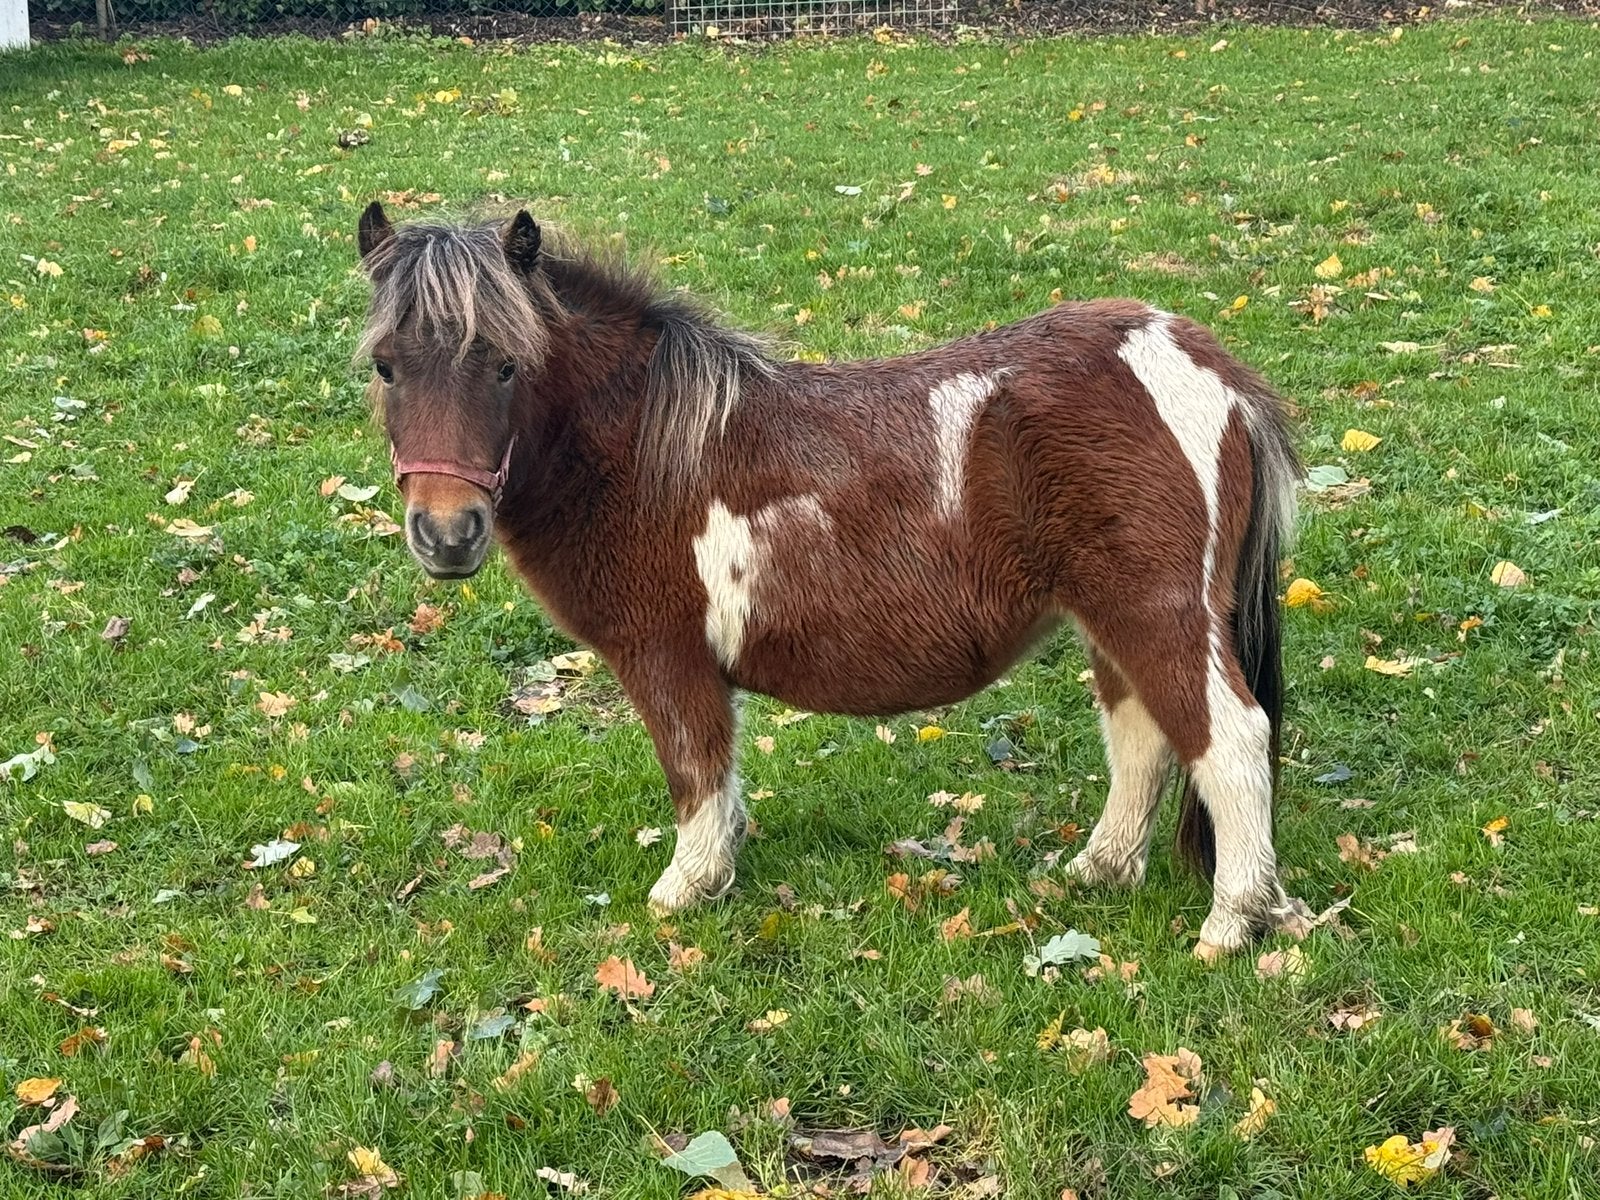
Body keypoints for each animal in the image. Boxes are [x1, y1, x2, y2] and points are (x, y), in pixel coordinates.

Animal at [353, 200, 1311, 959]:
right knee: (1144, 737)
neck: (645, 447)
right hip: (1110, 619)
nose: (446, 533)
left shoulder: (665, 655)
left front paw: (685, 889)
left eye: (506, 363)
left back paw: (1231, 924)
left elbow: (693, 768)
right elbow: (718, 774)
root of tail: (1207, 368)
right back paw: (1099, 871)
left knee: (1229, 742)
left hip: (1160, 613)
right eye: (386, 366)